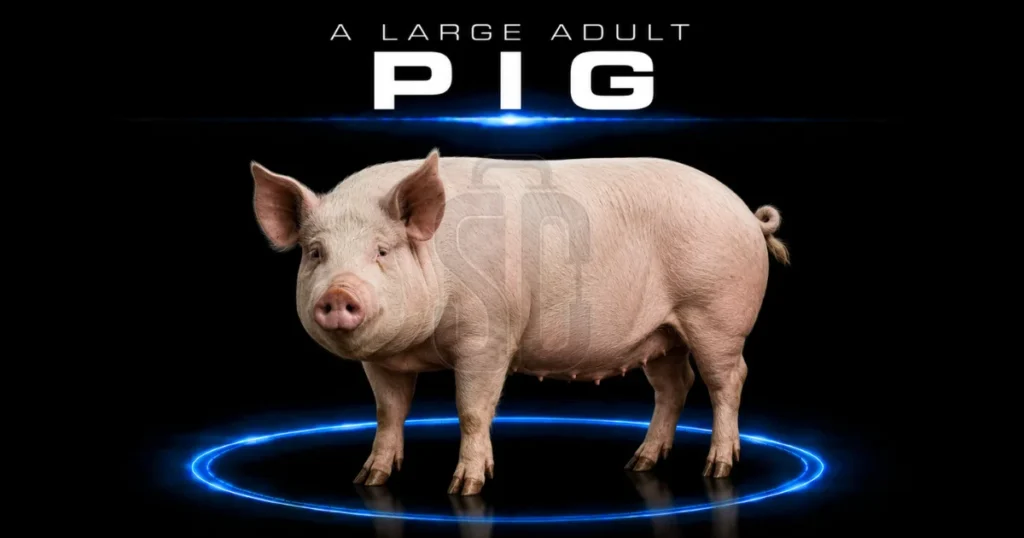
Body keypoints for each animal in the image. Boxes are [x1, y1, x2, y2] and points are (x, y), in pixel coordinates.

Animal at [250, 149, 790, 496]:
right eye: (315, 253)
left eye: (382, 251)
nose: (338, 294)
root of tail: (748, 214)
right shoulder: (383, 361)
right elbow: (388, 412)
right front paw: (370, 479)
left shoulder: (487, 338)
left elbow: (472, 410)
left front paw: (464, 489)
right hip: (662, 334)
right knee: (675, 384)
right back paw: (640, 462)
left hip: (717, 313)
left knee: (727, 380)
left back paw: (717, 469)